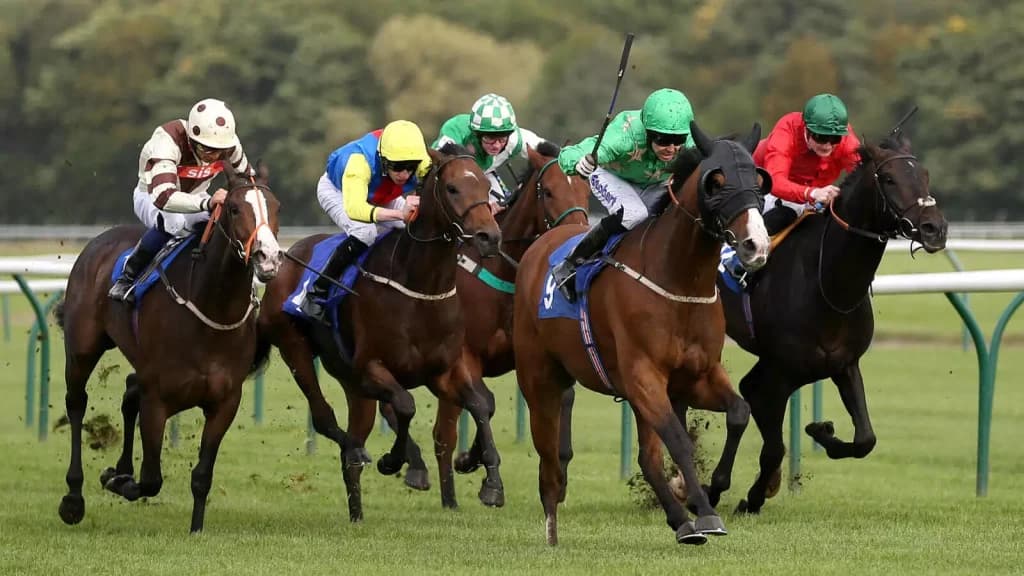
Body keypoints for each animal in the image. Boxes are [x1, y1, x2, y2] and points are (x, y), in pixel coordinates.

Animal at [54, 165, 282, 532]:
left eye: (276, 208)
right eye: (234, 209)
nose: (269, 257)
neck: (210, 308)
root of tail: (98, 242)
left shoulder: (224, 402)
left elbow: (202, 475)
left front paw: (196, 528)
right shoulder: (158, 400)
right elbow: (151, 479)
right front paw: (117, 480)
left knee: (129, 390)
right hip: (82, 348)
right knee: (76, 403)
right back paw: (73, 499)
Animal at [257, 144, 502, 521]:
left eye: (487, 188)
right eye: (452, 189)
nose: (490, 237)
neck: (420, 287)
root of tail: (288, 255)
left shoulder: (443, 370)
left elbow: (479, 405)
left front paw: (491, 483)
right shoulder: (372, 368)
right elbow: (405, 405)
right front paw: (394, 461)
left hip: (350, 381)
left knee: (356, 439)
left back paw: (357, 510)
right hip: (296, 350)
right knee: (327, 419)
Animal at [372, 141, 591, 508]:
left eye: (589, 192)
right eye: (548, 191)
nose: (576, 238)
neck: (501, 276)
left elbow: (563, 398)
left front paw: (557, 473)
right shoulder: (465, 355)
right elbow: (485, 402)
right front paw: (485, 476)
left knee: (441, 434)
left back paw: (448, 497)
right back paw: (417, 468)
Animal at [513, 121, 771, 546]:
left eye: (757, 180)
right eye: (717, 182)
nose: (756, 245)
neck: (678, 279)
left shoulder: (696, 375)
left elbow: (739, 412)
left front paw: (708, 491)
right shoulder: (644, 376)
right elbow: (678, 440)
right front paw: (706, 511)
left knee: (647, 458)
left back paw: (680, 520)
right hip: (540, 379)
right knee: (548, 455)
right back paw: (551, 527)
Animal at [694, 131, 948, 514]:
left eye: (926, 175)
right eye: (889, 179)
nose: (935, 229)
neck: (827, 282)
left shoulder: (843, 363)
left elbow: (866, 439)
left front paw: (820, 432)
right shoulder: (783, 371)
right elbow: (772, 444)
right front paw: (744, 494)